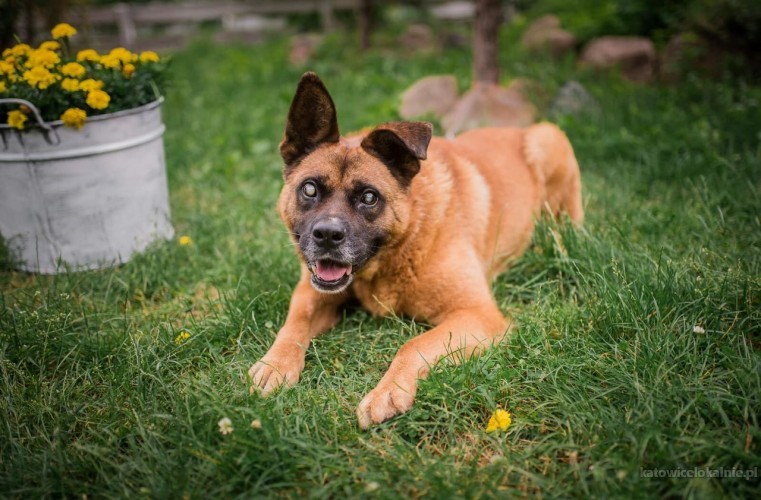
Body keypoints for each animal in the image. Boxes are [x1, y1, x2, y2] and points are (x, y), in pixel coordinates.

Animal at [249, 73, 580, 430]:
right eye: (309, 189)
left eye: (369, 197)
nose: (326, 235)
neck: (404, 242)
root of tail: (516, 129)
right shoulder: (312, 292)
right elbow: (295, 321)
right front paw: (275, 364)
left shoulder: (477, 314)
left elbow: (412, 344)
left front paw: (387, 391)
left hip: (550, 141)